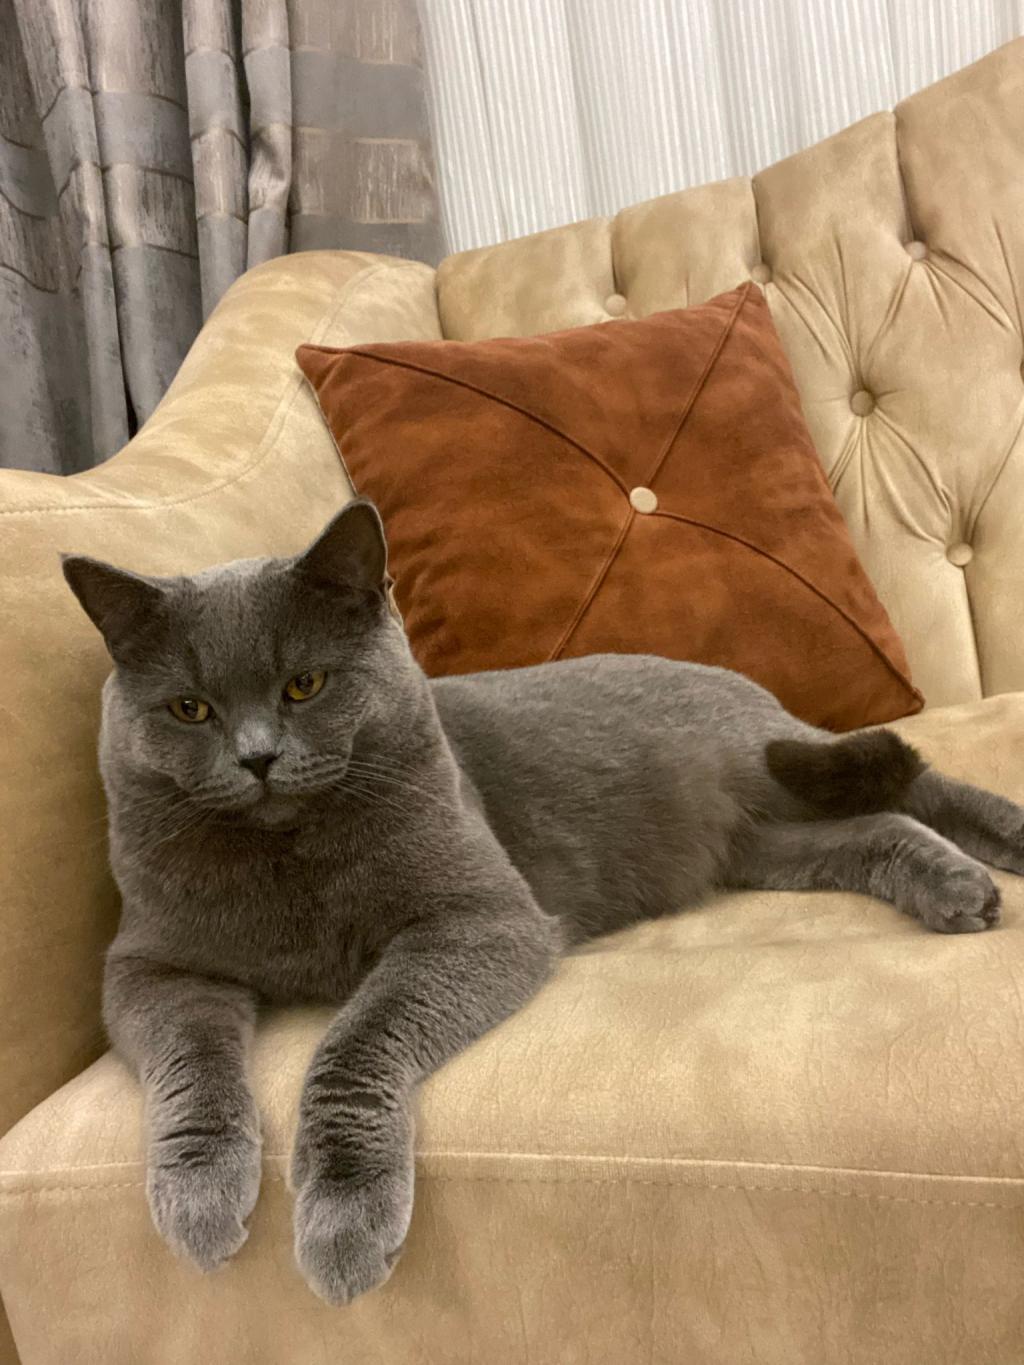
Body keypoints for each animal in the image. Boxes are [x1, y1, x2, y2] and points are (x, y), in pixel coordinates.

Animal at [62, 499, 1023, 1307]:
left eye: (306, 684)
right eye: (190, 707)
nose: (258, 758)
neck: (289, 859)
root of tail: (737, 680)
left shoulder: (482, 920)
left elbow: (353, 1045)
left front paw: (343, 1227)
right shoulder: (151, 965)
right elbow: (190, 1062)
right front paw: (198, 1197)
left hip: (772, 761)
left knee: (913, 782)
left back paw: (998, 854)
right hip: (757, 842)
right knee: (877, 822)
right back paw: (951, 887)